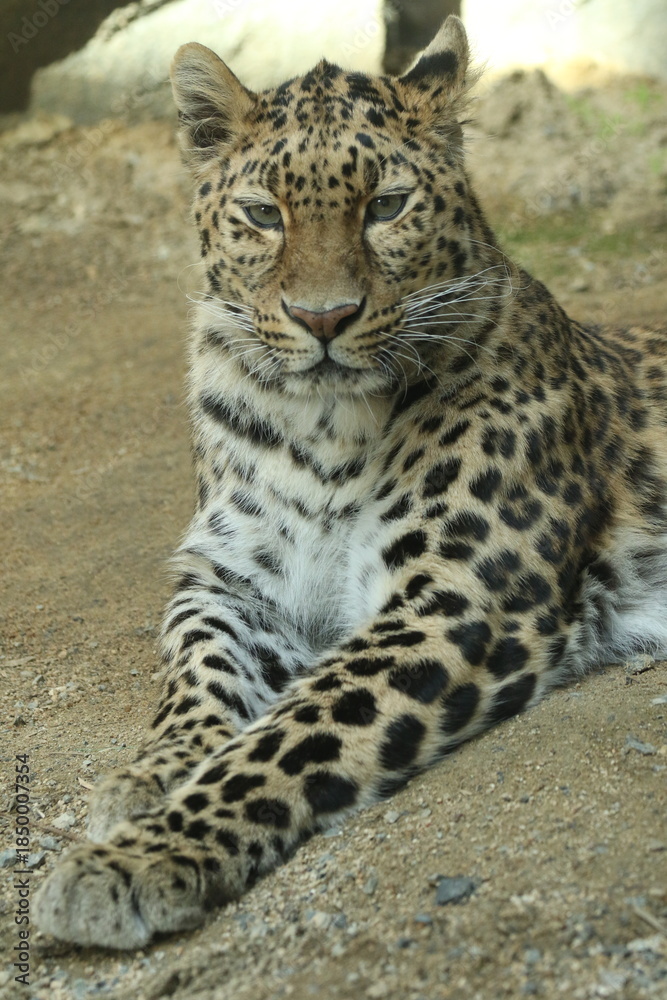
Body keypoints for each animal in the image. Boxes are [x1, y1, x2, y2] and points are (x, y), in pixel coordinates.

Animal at [35, 15, 667, 949]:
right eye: (264, 215)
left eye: (386, 207)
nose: (323, 318)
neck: (321, 430)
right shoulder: (230, 577)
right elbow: (197, 668)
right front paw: (152, 773)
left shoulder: (456, 600)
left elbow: (295, 731)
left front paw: (138, 857)